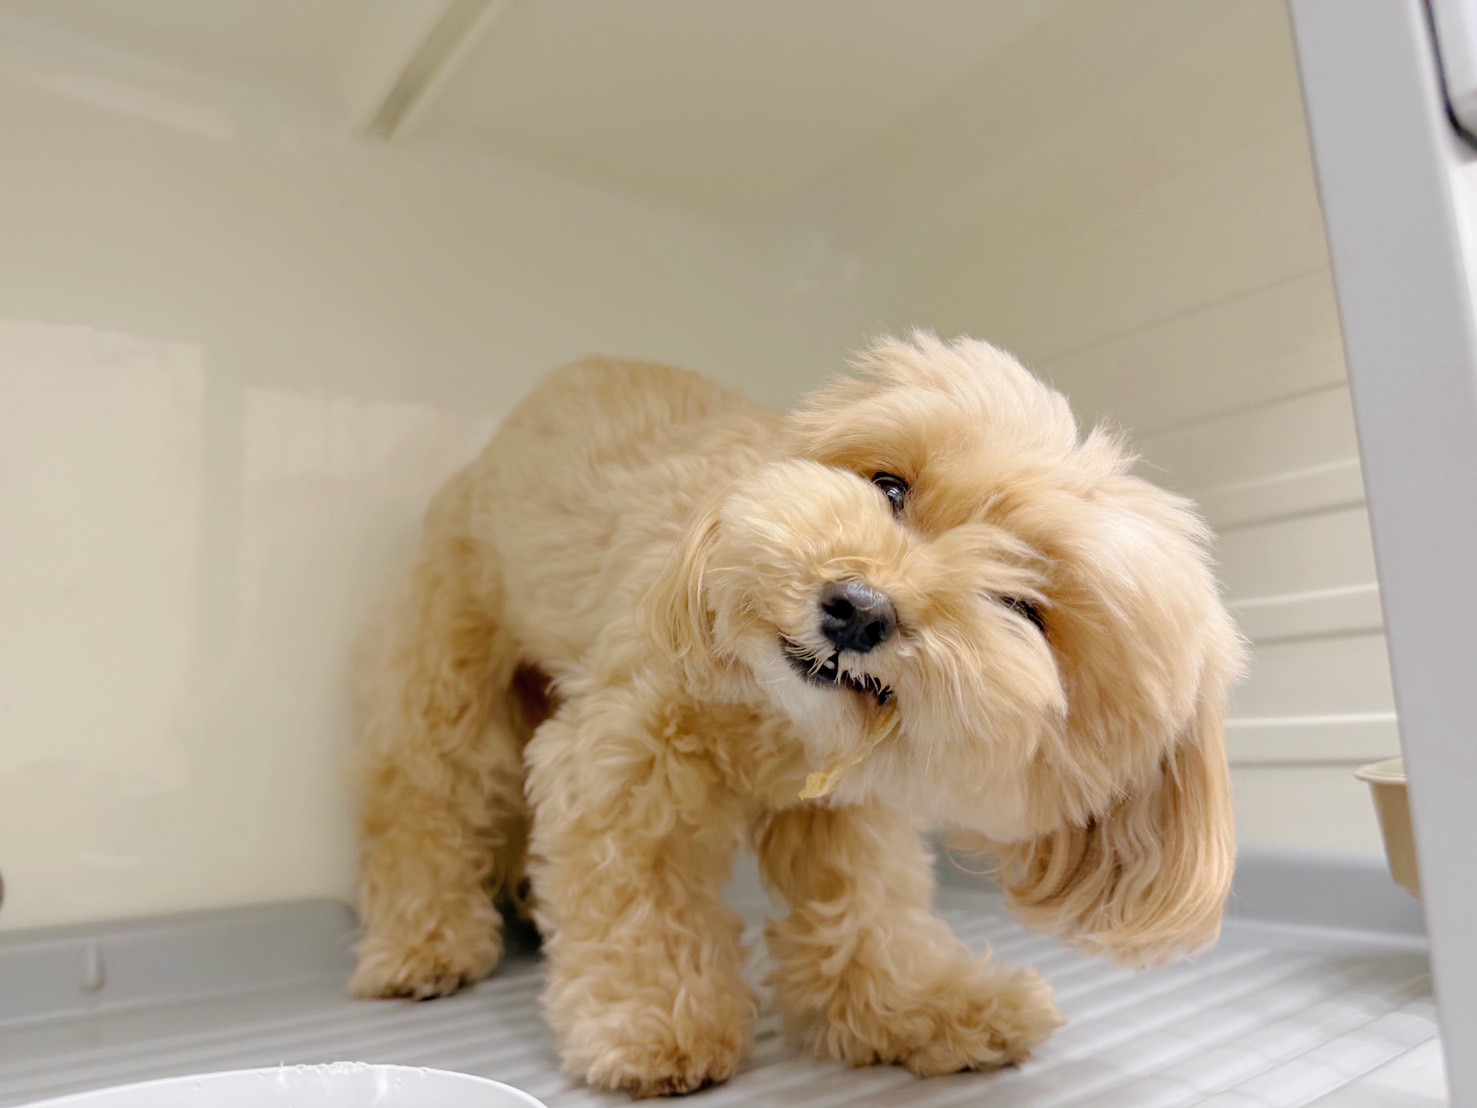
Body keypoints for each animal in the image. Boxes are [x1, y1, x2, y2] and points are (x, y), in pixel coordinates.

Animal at [348, 332, 1245, 1097]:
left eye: (1023, 609)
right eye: (890, 488)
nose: (857, 607)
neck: (783, 728)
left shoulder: (847, 809)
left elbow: (867, 912)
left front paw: (922, 1007)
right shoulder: (620, 765)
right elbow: (640, 903)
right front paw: (652, 1025)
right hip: (451, 671)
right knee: (421, 801)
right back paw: (422, 945)